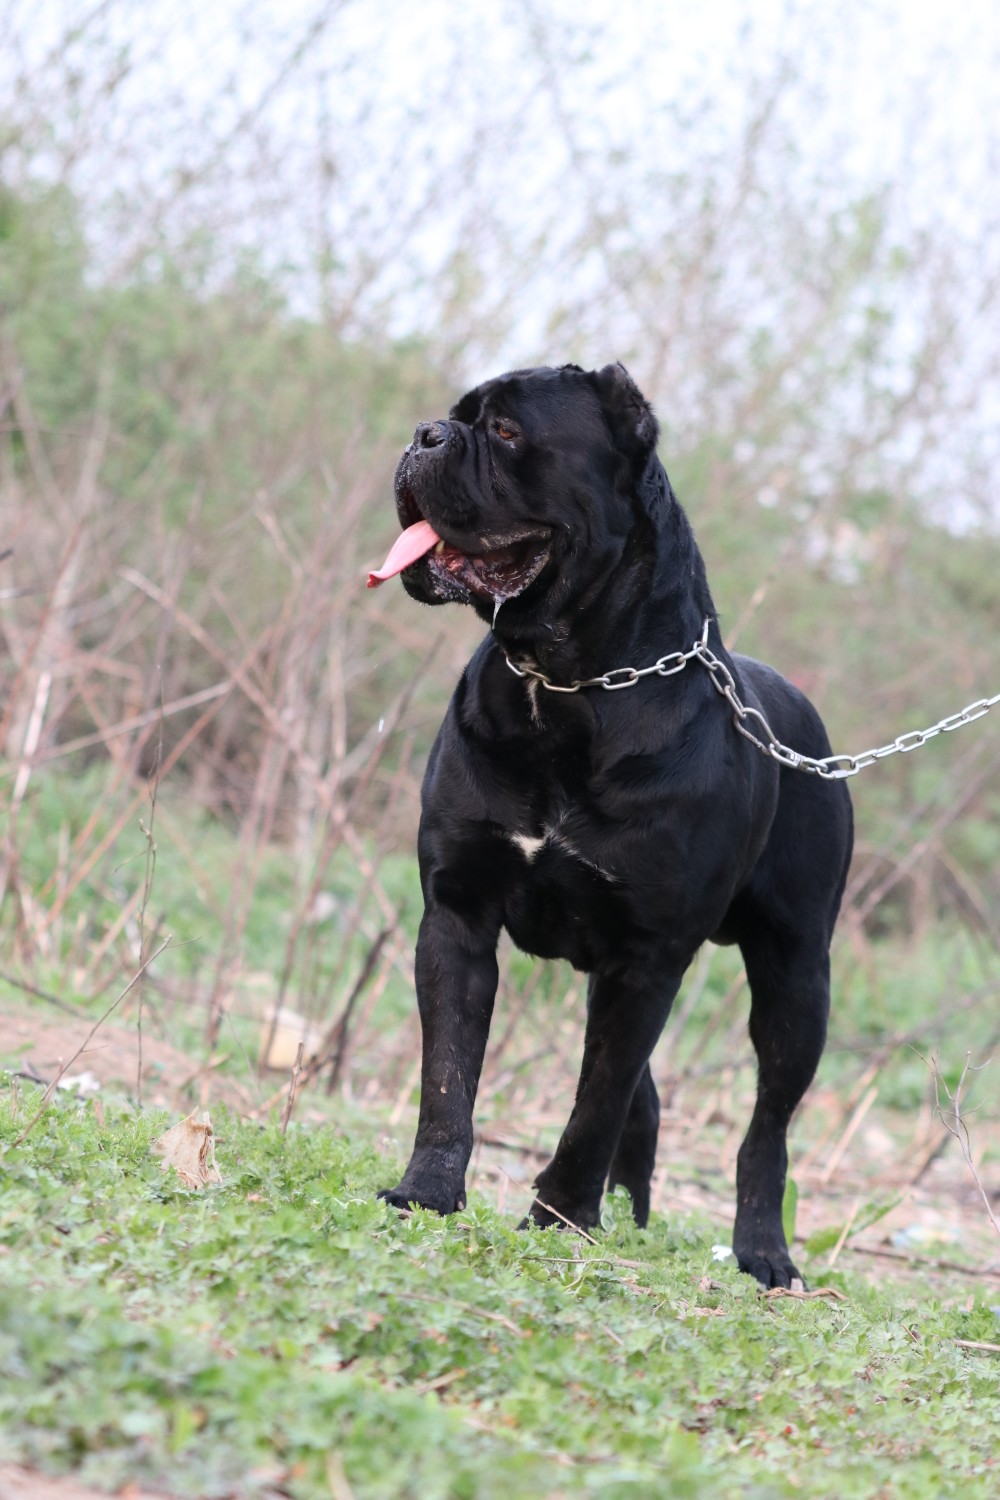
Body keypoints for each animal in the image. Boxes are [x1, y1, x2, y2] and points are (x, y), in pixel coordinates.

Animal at [371, 363, 857, 1290]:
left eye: (508, 432)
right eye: (453, 417)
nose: (421, 435)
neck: (564, 683)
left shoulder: (648, 958)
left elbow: (592, 1105)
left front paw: (559, 1220)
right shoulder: (458, 915)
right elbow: (449, 1077)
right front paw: (427, 1193)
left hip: (795, 979)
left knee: (764, 1126)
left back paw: (762, 1252)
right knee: (646, 1093)